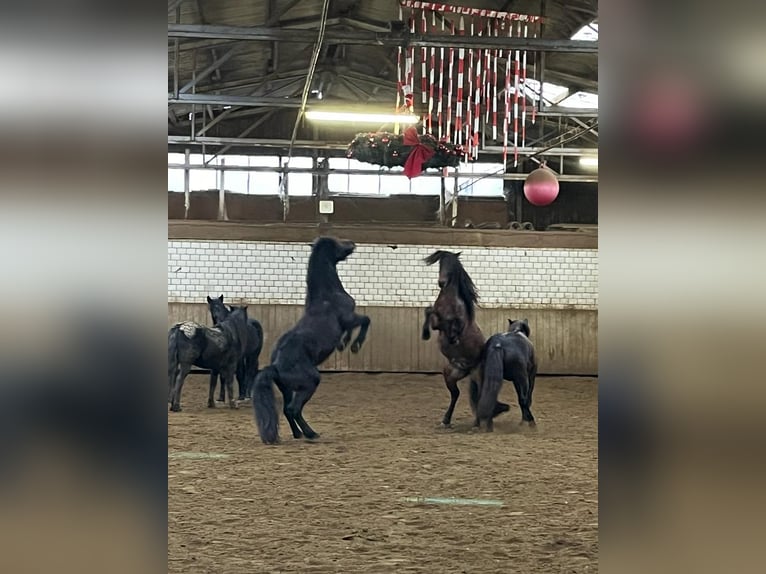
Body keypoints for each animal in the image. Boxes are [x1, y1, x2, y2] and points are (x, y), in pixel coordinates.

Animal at [254, 237, 370, 446]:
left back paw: (298, 434)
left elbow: (350, 330)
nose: (351, 243)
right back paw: (311, 434)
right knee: (294, 409)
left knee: (287, 409)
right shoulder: (349, 317)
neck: (327, 296)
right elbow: (366, 320)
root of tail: (275, 366)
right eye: (337, 242)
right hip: (310, 382)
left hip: (287, 389)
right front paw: (355, 345)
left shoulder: (347, 322)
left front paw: (344, 343)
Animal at [420, 251, 510, 428]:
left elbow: (452, 323)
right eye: (440, 263)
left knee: (481, 394)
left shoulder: (455, 323)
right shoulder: (437, 322)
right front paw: (425, 334)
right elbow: (429, 311)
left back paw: (481, 422)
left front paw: (453, 337)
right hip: (450, 373)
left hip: (478, 377)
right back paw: (448, 421)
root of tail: (468, 369)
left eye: (452, 266)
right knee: (456, 394)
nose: (441, 282)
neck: (449, 300)